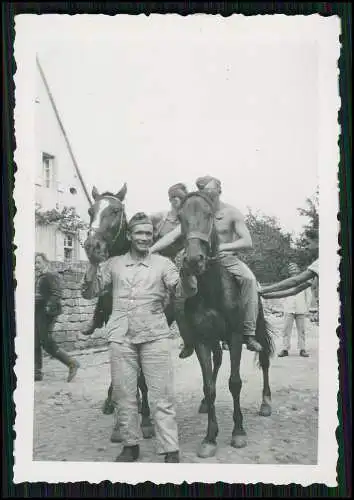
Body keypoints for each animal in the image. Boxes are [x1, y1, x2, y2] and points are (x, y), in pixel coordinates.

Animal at [178, 190, 276, 458]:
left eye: (209, 215)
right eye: (180, 217)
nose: (194, 259)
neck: (211, 289)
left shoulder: (234, 337)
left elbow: (235, 382)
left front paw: (238, 432)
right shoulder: (202, 340)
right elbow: (209, 387)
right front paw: (210, 438)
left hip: (256, 329)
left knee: (264, 359)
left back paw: (266, 403)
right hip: (214, 341)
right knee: (216, 366)